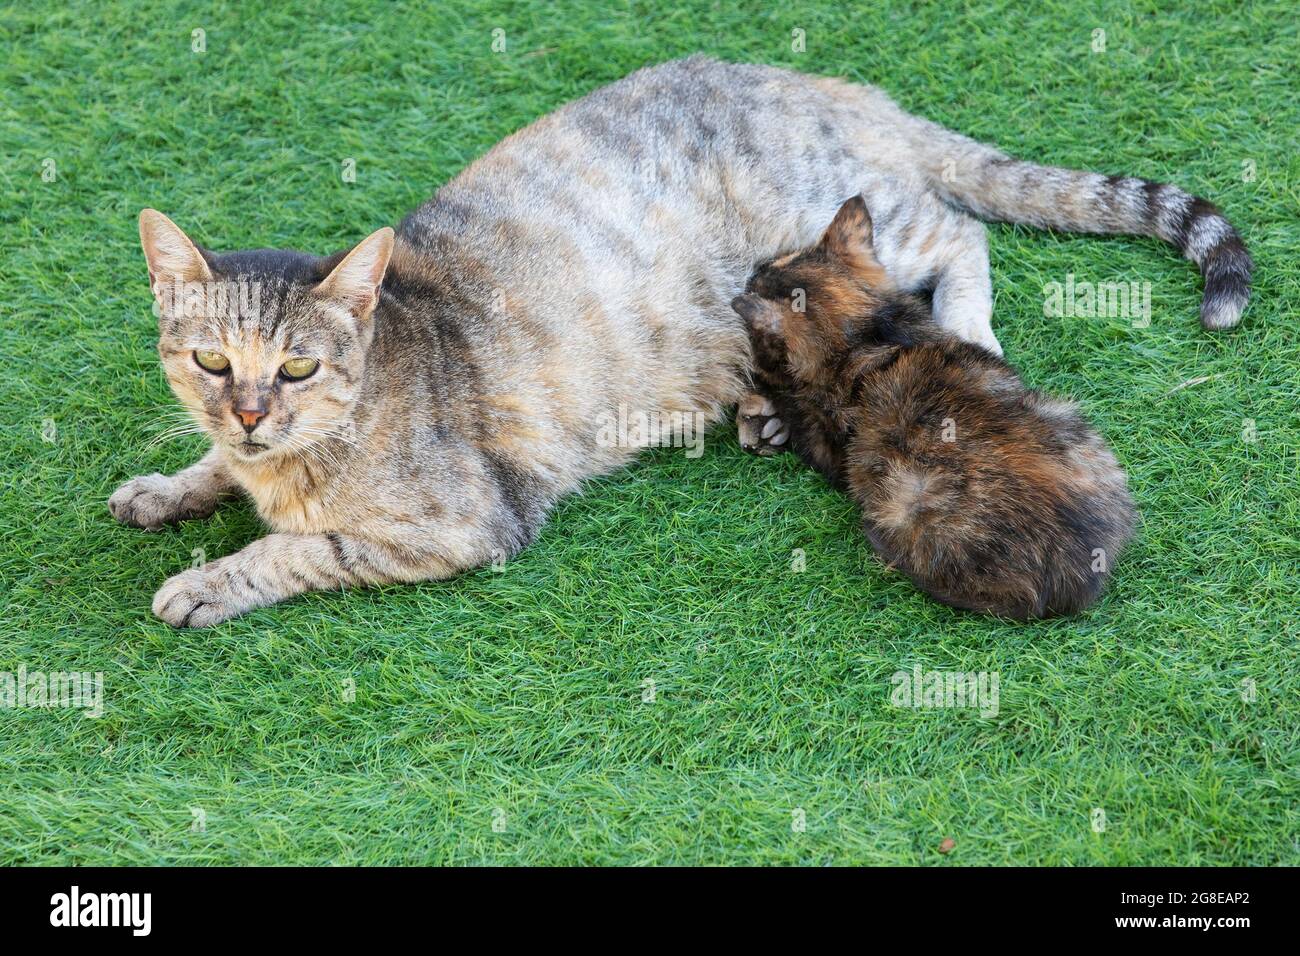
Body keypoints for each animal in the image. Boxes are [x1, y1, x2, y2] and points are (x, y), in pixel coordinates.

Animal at [733, 195, 1138, 621]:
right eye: (784, 258)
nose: (753, 268)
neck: (864, 335)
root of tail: (1081, 573)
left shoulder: (822, 439)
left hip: (906, 505)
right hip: (1068, 421)